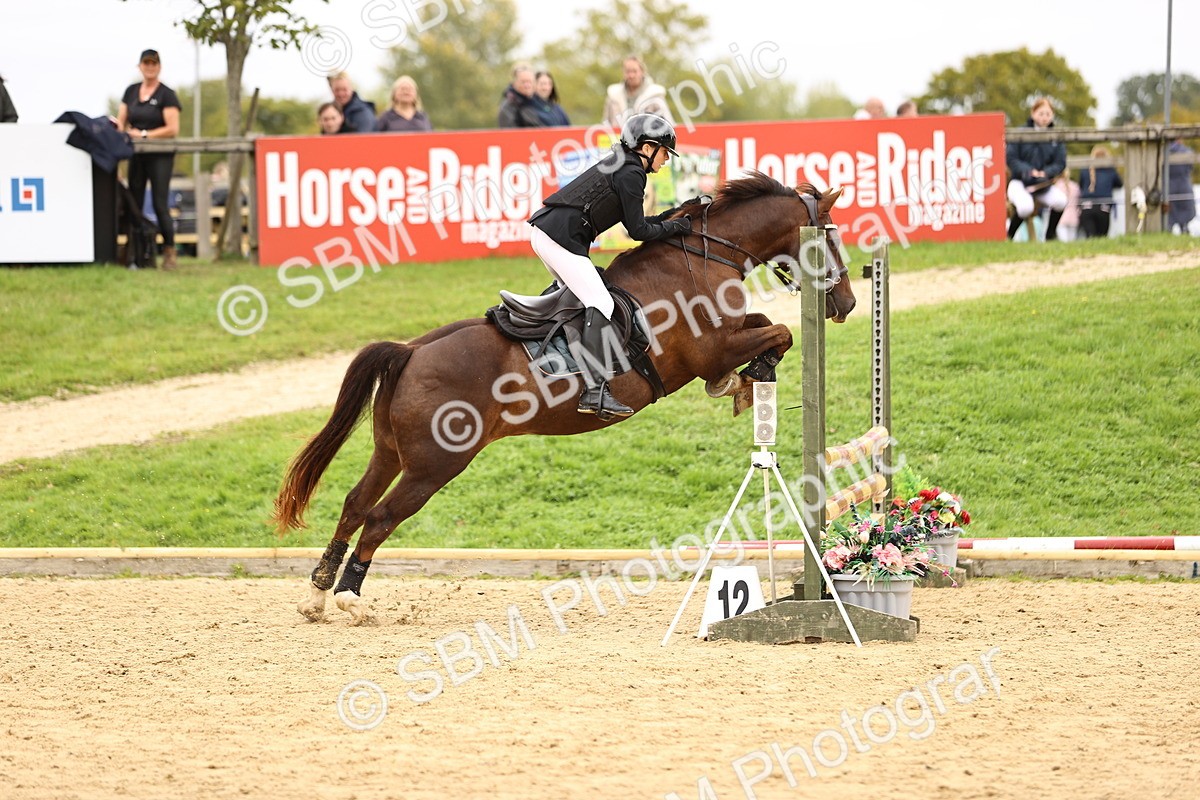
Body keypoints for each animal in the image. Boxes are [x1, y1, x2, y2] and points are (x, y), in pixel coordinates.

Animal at [274, 173, 857, 623]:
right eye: (829, 235)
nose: (848, 304)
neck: (701, 259)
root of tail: (410, 351)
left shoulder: (727, 336)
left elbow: (766, 326)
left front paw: (745, 382)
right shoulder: (711, 350)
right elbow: (777, 333)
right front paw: (746, 379)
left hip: (391, 452)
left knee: (353, 505)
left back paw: (316, 596)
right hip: (434, 466)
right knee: (378, 518)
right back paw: (350, 600)